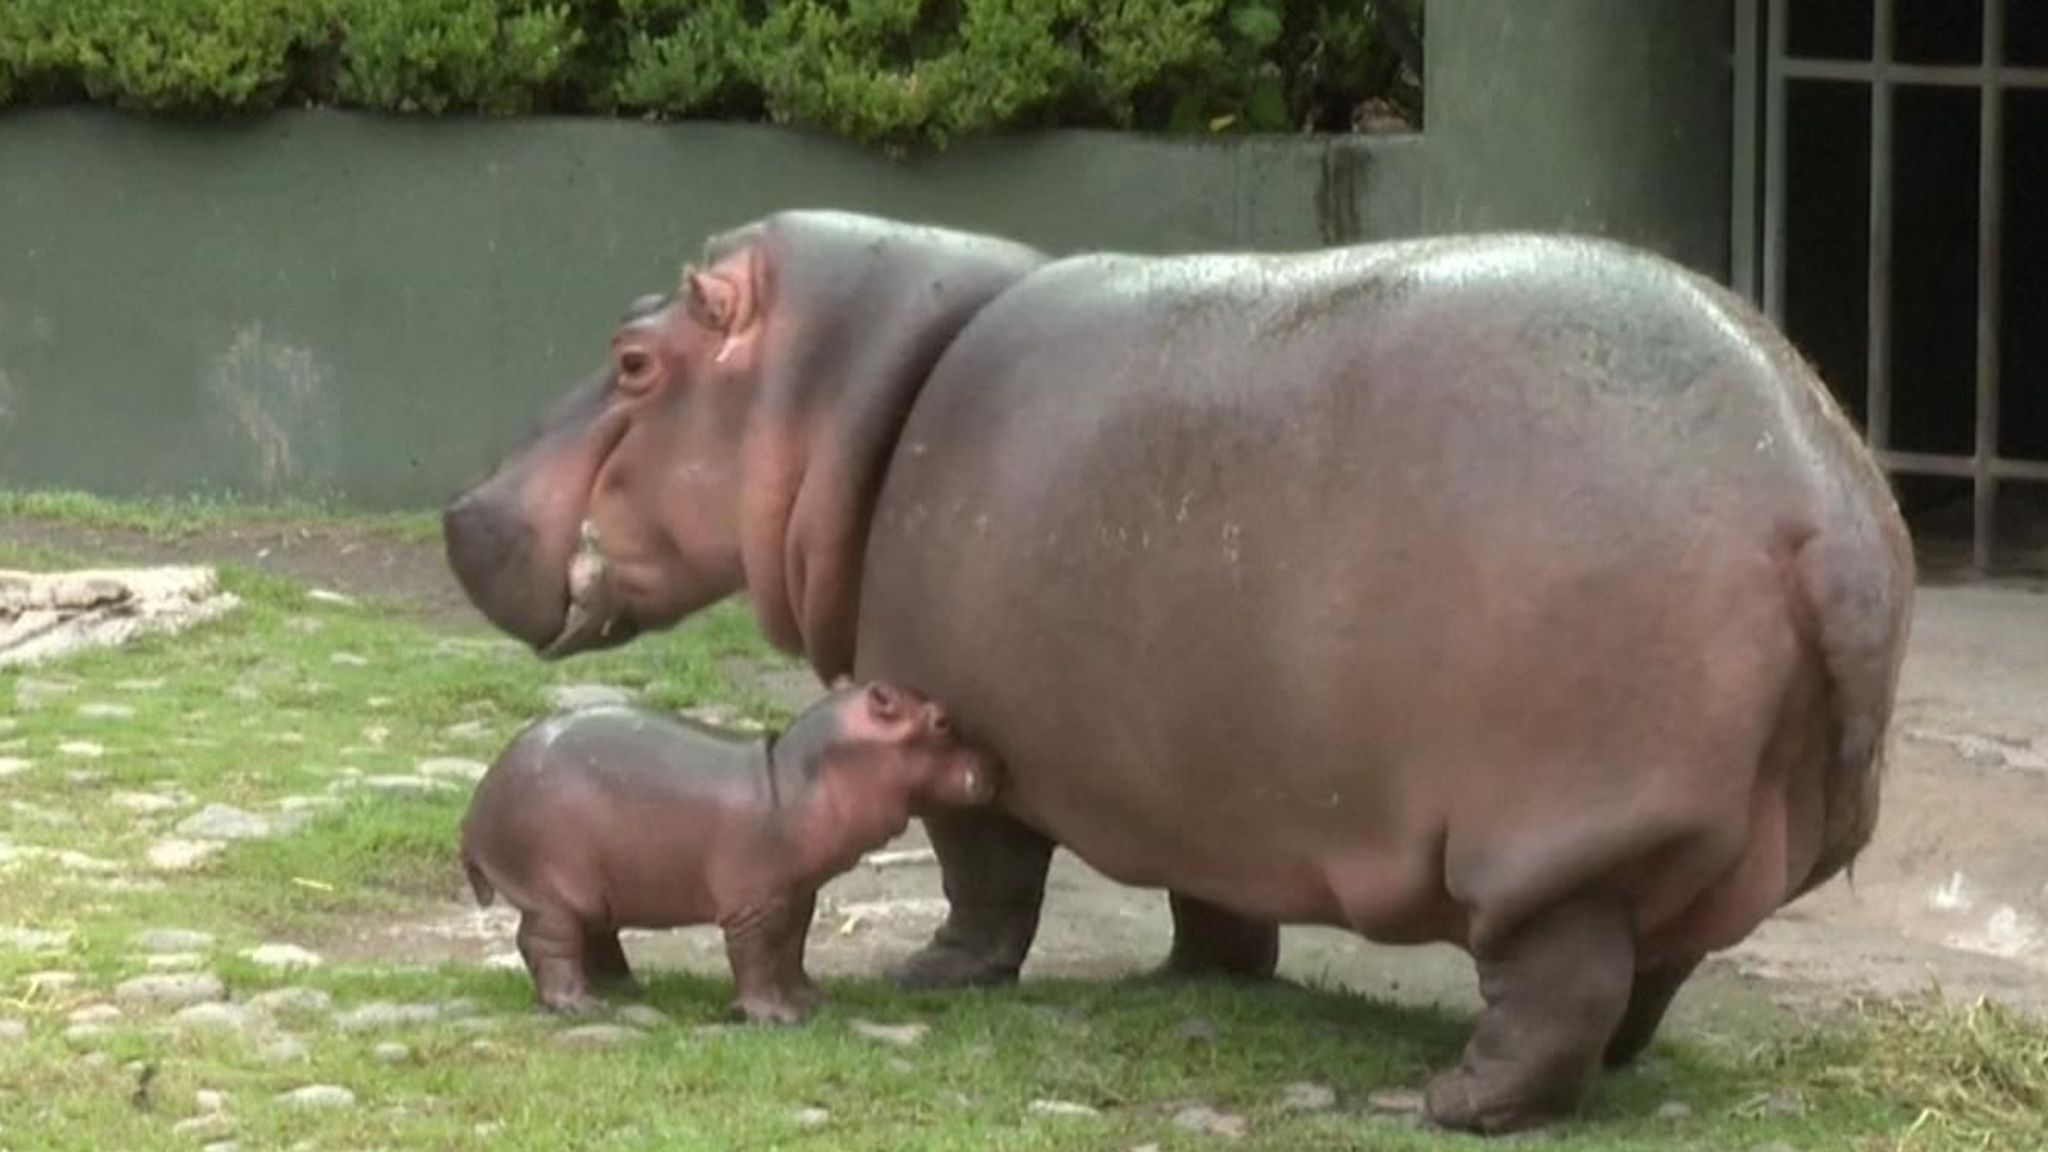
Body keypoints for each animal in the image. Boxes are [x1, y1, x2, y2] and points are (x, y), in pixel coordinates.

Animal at [458, 676, 999, 1016]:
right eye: (942, 722)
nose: (998, 765)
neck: (797, 775)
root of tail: (478, 801)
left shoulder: (796, 895)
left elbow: (791, 949)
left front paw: (812, 1001)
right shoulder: (753, 904)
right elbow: (756, 956)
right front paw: (774, 1016)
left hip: (590, 891)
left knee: (595, 935)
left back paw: (624, 987)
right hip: (552, 891)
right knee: (545, 943)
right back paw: (580, 1005)